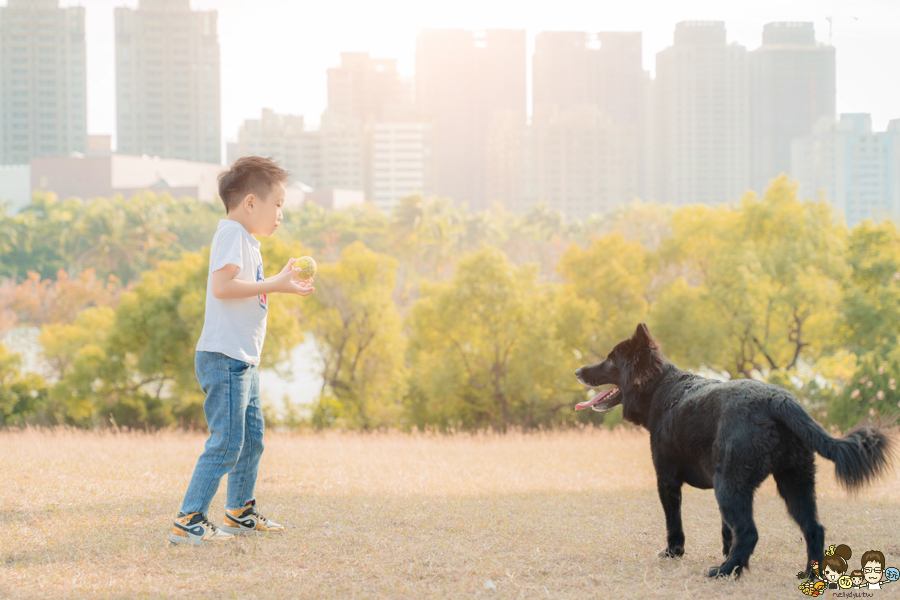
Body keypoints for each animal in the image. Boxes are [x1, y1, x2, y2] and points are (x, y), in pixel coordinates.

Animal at [576, 326, 892, 580]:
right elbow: (728, 531)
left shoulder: (667, 480)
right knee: (814, 529)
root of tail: (778, 400)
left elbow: (674, 524)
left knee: (751, 532)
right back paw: (808, 574)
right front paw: (727, 554)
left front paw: (674, 553)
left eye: (610, 360)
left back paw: (725, 572)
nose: (577, 372)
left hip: (732, 485)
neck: (662, 389)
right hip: (794, 482)